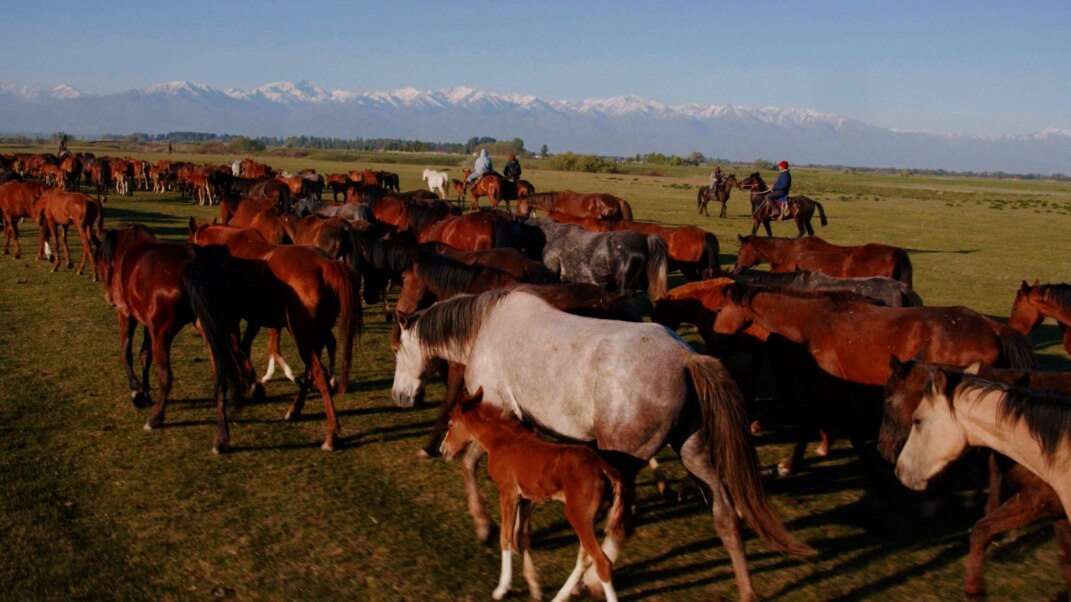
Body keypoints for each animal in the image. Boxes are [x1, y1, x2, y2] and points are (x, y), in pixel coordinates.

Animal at [92, 222, 250, 452]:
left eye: (99, 264)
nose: (108, 298)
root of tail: (192, 262)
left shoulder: (127, 314)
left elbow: (126, 353)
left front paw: (137, 390)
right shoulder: (148, 323)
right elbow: (145, 354)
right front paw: (145, 391)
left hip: (163, 334)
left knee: (166, 376)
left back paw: (155, 418)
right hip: (213, 329)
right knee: (221, 377)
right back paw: (221, 437)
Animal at [441, 383, 629, 599]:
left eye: (450, 424)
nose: (443, 450)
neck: (503, 441)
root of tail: (603, 467)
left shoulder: (508, 493)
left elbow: (506, 537)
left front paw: (502, 589)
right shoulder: (526, 499)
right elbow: (521, 538)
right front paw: (535, 587)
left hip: (578, 515)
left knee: (602, 562)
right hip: (588, 518)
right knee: (584, 558)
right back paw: (559, 597)